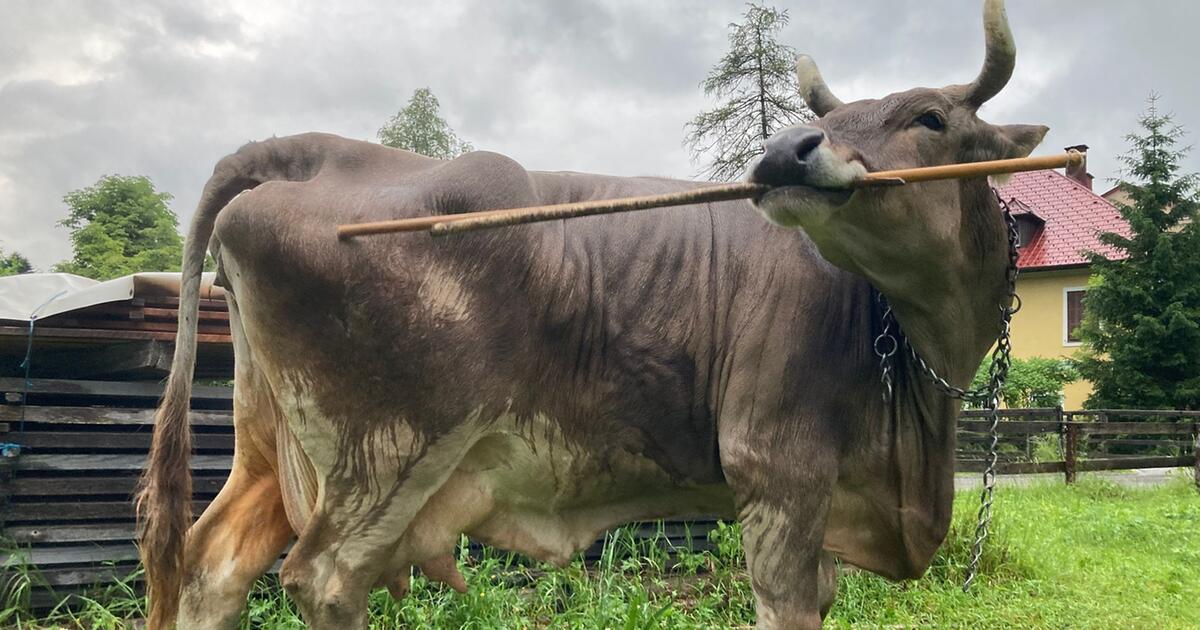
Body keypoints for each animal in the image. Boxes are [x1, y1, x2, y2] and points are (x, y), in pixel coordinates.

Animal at [137, 1, 1046, 627]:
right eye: (828, 120)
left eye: (929, 117)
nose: (785, 151)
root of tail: (318, 149)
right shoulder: (777, 470)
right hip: (388, 454)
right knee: (323, 579)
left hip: (272, 447)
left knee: (213, 565)